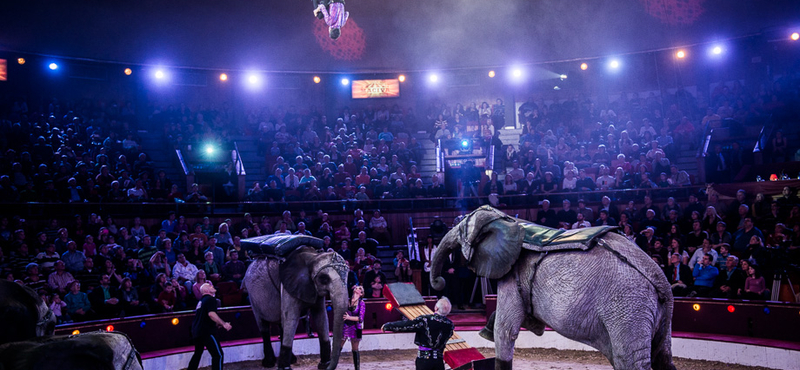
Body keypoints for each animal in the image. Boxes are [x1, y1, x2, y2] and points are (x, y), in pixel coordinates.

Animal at [432, 205, 676, 370]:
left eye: (460, 228)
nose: (439, 283)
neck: (507, 220)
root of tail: (660, 280)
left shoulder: (513, 272)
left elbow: (506, 331)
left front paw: (490, 333)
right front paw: (487, 330)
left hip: (627, 309)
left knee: (630, 360)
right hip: (655, 315)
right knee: (662, 357)